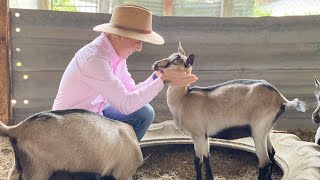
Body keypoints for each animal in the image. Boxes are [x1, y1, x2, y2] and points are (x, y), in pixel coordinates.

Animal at [153, 42, 308, 180]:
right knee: (272, 154)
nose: (155, 65)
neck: (183, 99)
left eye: (175, 61)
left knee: (264, 162)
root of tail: (280, 98)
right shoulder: (205, 136)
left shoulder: (197, 135)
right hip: (267, 130)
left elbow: (198, 161)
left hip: (258, 131)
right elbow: (207, 157)